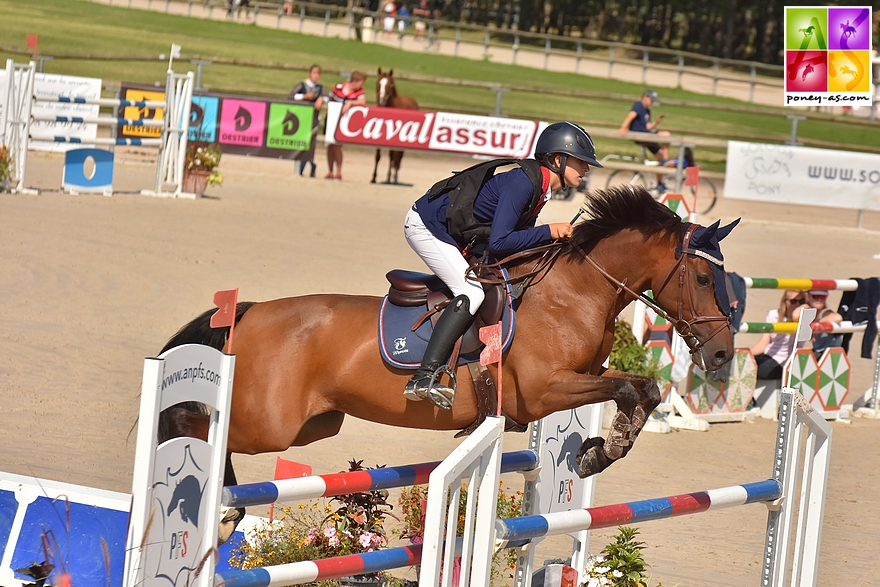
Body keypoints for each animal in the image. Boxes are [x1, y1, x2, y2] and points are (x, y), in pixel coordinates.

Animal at [160, 187, 736, 496]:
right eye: (703, 279)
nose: (723, 353)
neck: (574, 292)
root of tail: (250, 312)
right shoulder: (545, 390)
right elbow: (627, 390)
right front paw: (603, 448)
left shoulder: (583, 378)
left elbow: (644, 389)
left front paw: (599, 451)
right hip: (272, 425)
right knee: (200, 426)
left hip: (314, 424)